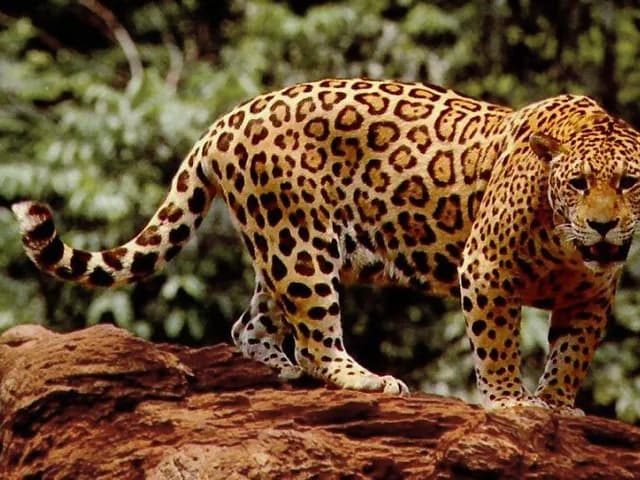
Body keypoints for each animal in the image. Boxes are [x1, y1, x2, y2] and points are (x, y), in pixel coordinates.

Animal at [12, 78, 640, 413]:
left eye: (629, 182)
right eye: (578, 183)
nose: (603, 226)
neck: (564, 244)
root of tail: (227, 119)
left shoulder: (591, 298)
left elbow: (571, 355)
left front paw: (556, 404)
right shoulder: (486, 268)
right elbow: (498, 343)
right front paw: (511, 401)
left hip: (281, 245)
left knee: (251, 324)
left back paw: (282, 371)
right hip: (301, 245)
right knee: (316, 338)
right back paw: (364, 378)